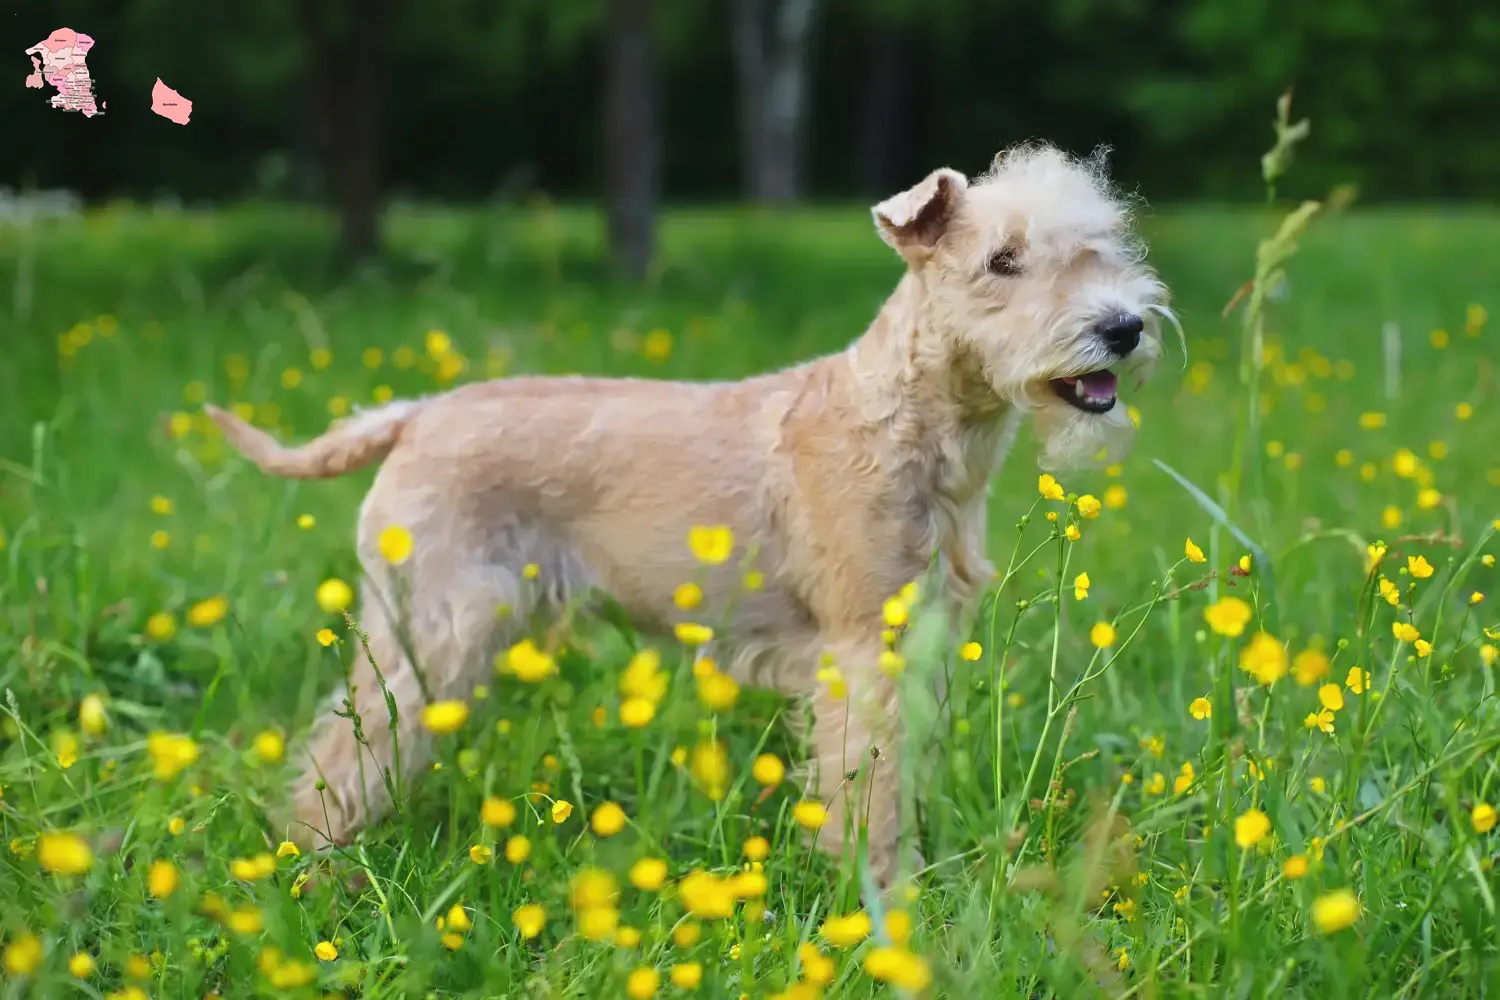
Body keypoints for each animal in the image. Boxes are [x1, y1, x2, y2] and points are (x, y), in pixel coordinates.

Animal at [208, 140, 1170, 881]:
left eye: (1101, 246)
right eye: (1001, 262)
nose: (1122, 328)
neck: (908, 419)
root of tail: (411, 416)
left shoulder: (917, 641)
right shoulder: (863, 651)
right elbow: (869, 785)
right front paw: (882, 893)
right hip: (432, 632)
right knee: (342, 754)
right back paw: (313, 867)